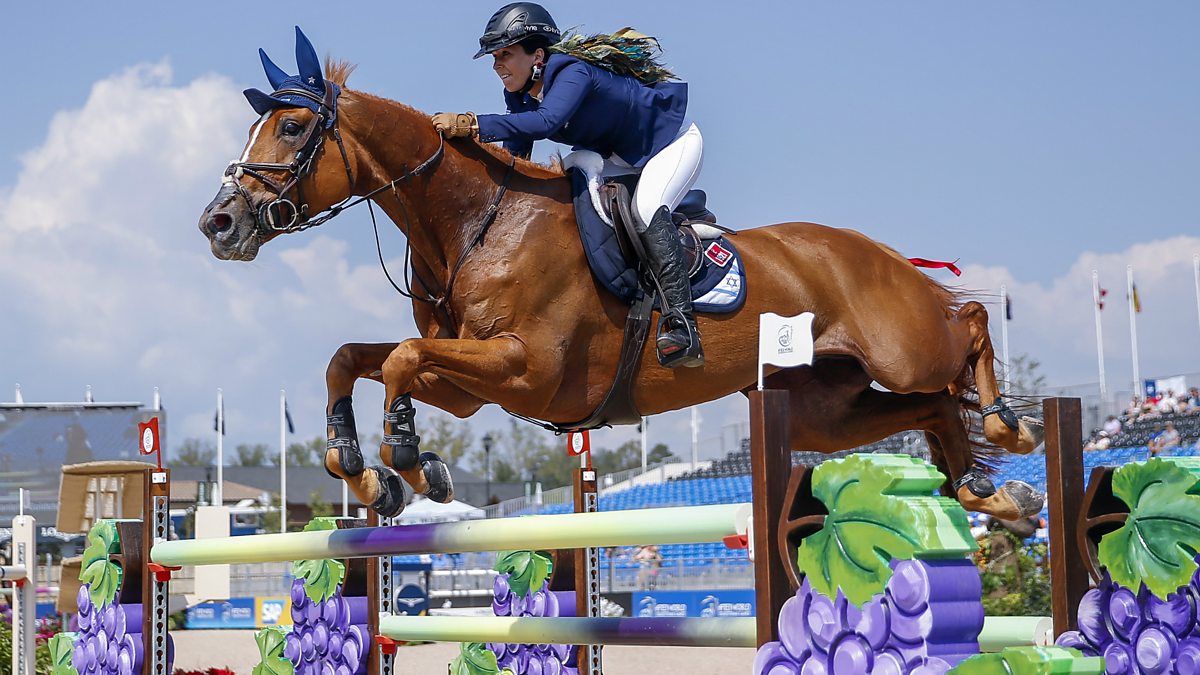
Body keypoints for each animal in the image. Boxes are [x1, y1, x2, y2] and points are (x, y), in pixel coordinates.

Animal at [196, 60, 1041, 516]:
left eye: (293, 130)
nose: (218, 222)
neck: (476, 223)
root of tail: (877, 251)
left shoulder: (523, 367)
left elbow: (399, 359)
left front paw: (409, 457)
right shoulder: (468, 379)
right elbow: (353, 356)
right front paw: (361, 467)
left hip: (900, 344)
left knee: (967, 321)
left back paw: (1011, 428)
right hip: (819, 406)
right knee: (929, 405)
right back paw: (989, 491)